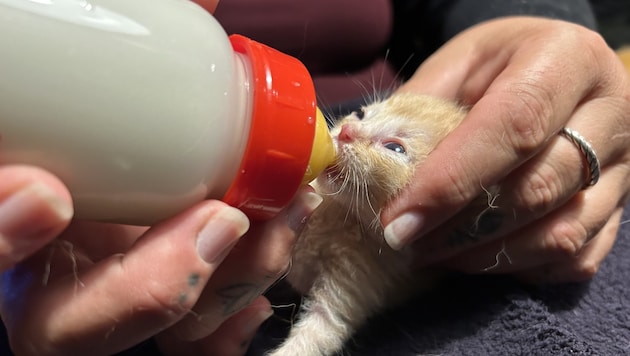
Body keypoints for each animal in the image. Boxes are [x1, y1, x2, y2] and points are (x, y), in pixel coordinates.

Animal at [266, 93, 470, 354]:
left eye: (395, 148)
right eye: (360, 113)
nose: (346, 132)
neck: (339, 212)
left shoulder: (358, 276)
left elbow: (319, 331)